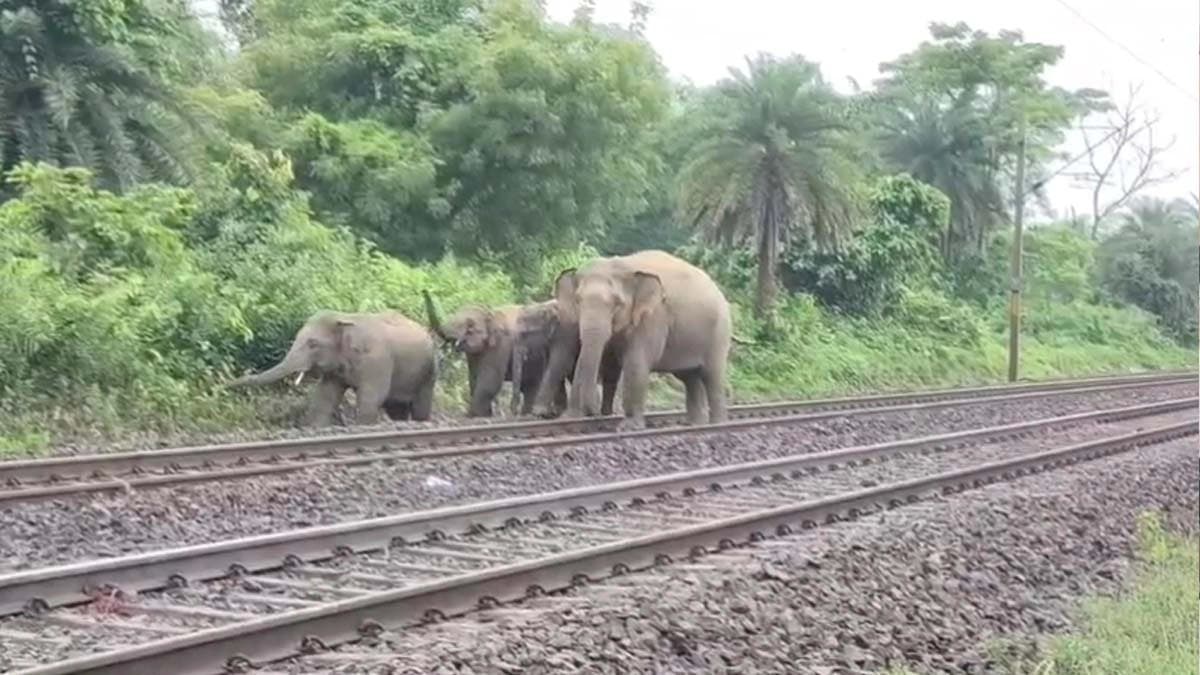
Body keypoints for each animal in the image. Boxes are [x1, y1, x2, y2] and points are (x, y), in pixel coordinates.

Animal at [227, 310, 437, 427]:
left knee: (419, 404)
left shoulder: (377, 360)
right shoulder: (336, 369)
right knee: (396, 408)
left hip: (428, 373)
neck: (345, 317)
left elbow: (372, 395)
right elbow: (325, 396)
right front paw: (314, 427)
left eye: (312, 343)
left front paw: (362, 426)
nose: (226, 386)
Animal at [423, 292, 564, 417]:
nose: (424, 290)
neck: (489, 313)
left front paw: (473, 415)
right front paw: (484, 415)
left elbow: (490, 380)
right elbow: (473, 378)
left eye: (470, 326)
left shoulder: (501, 345)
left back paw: (526, 414)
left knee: (532, 386)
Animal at [552, 249, 732, 430]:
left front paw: (629, 426)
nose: (594, 413)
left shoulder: (654, 317)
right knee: (690, 377)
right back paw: (695, 424)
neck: (623, 264)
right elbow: (604, 364)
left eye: (617, 303)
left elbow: (636, 362)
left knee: (711, 375)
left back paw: (718, 424)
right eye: (577, 300)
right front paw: (569, 419)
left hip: (719, 334)